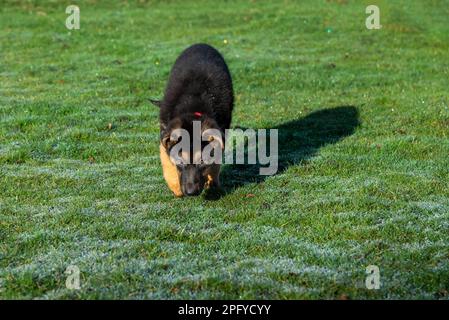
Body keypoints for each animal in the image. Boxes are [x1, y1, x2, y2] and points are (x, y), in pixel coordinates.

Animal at [151, 43, 233, 196]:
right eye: (180, 161)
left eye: (202, 161)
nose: (191, 193)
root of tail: (201, 44)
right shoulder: (165, 132)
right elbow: (166, 159)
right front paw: (175, 187)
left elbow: (215, 160)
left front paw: (212, 183)